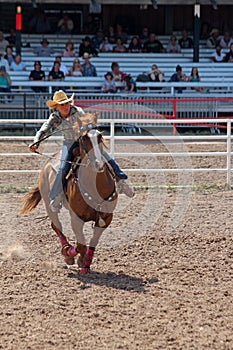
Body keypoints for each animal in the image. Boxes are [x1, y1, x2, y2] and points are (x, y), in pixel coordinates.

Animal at [19, 112, 118, 274]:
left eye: (100, 136)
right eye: (84, 138)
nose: (98, 164)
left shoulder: (106, 218)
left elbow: (92, 242)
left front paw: (86, 263)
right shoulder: (76, 218)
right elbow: (80, 245)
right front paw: (72, 256)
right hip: (49, 206)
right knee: (56, 226)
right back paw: (66, 251)